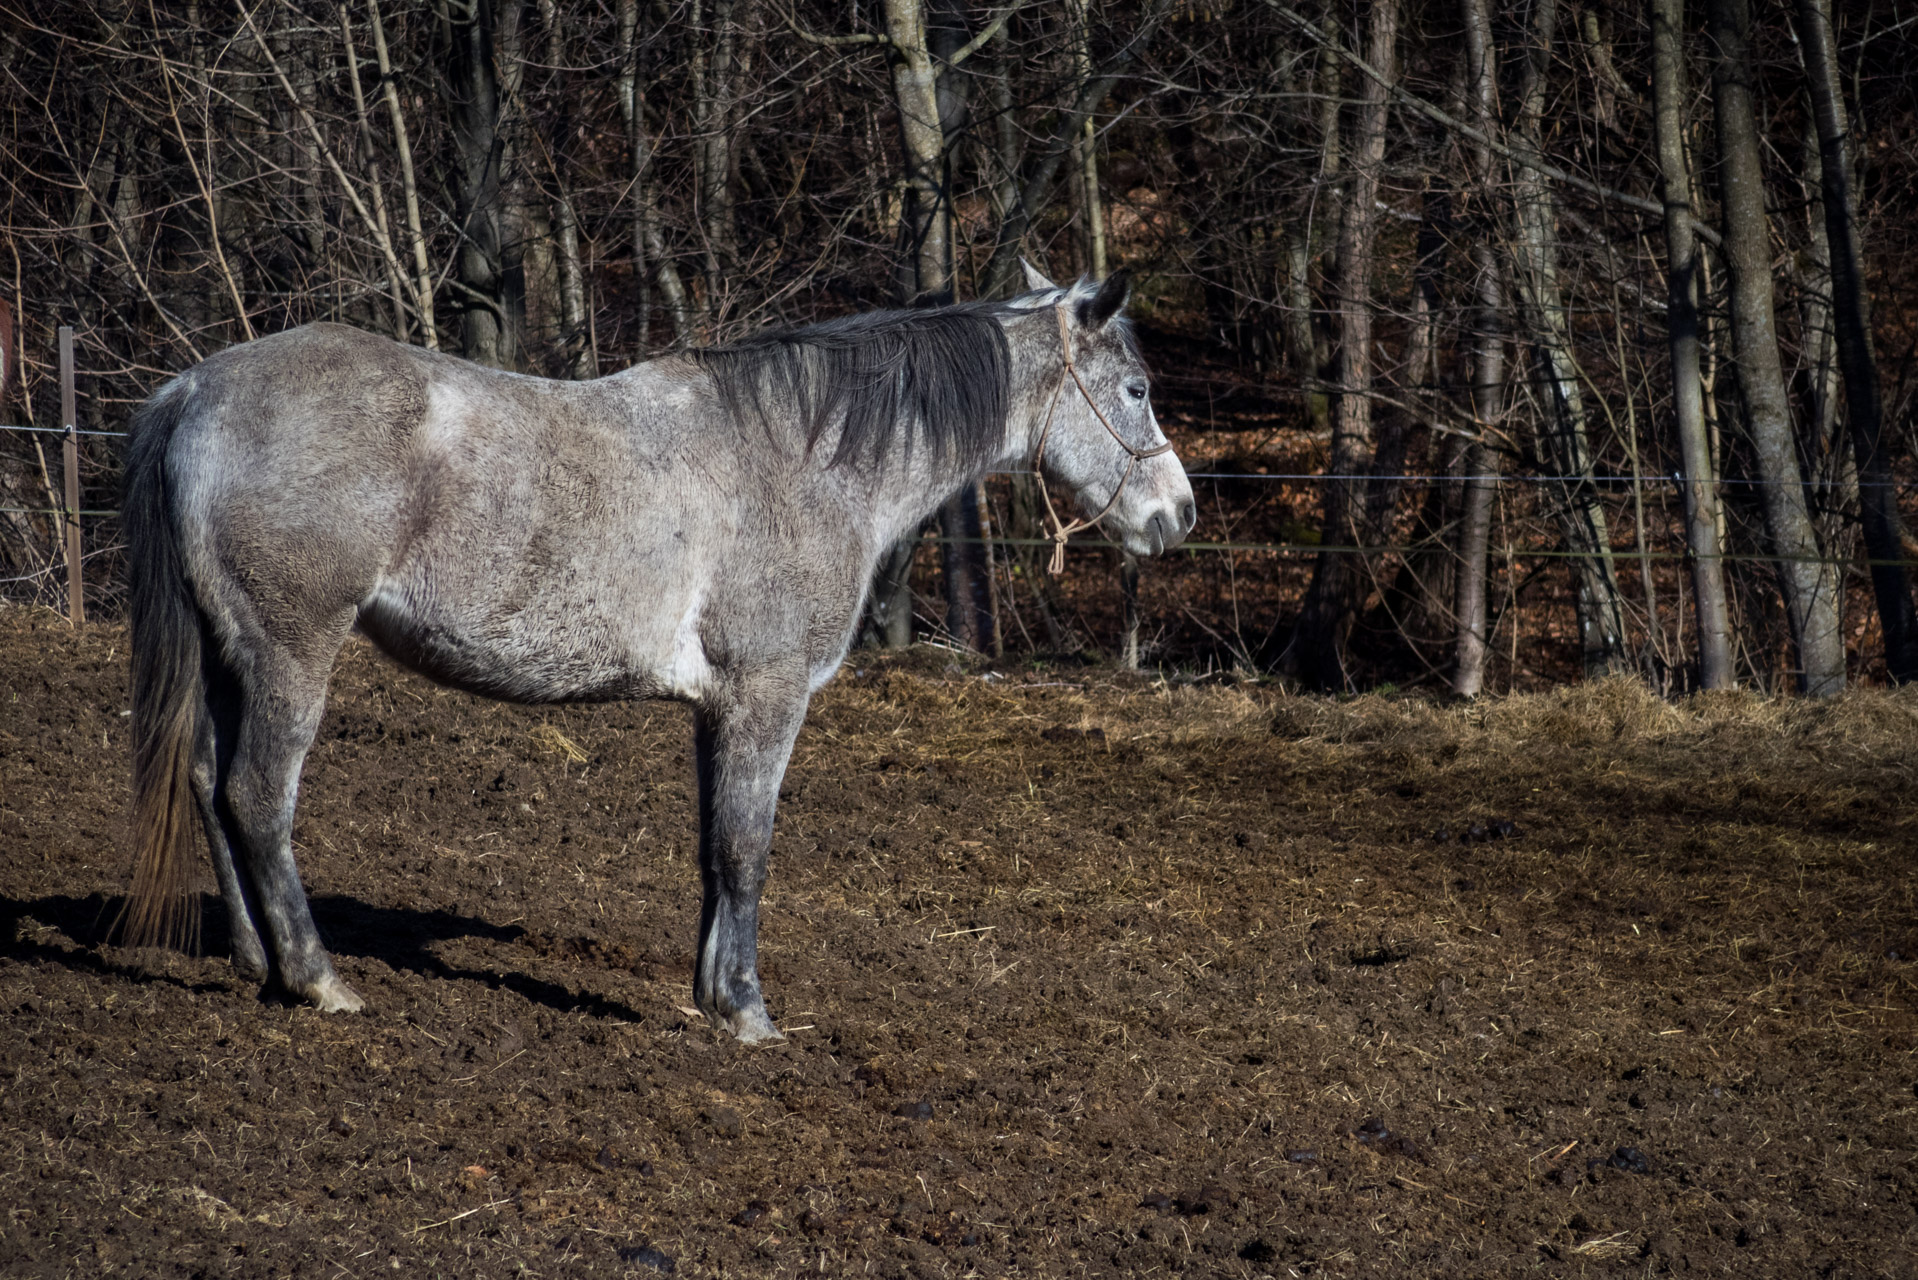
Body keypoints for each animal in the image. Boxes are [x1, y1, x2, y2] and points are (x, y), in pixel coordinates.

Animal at [119, 268, 1189, 1043]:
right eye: (1135, 389)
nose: (1177, 515)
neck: (801, 458)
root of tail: (193, 389)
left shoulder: (719, 709)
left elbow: (714, 850)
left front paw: (711, 995)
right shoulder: (768, 696)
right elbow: (749, 847)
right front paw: (750, 1014)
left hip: (232, 656)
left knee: (209, 782)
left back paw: (255, 963)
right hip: (291, 653)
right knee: (258, 796)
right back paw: (317, 979)